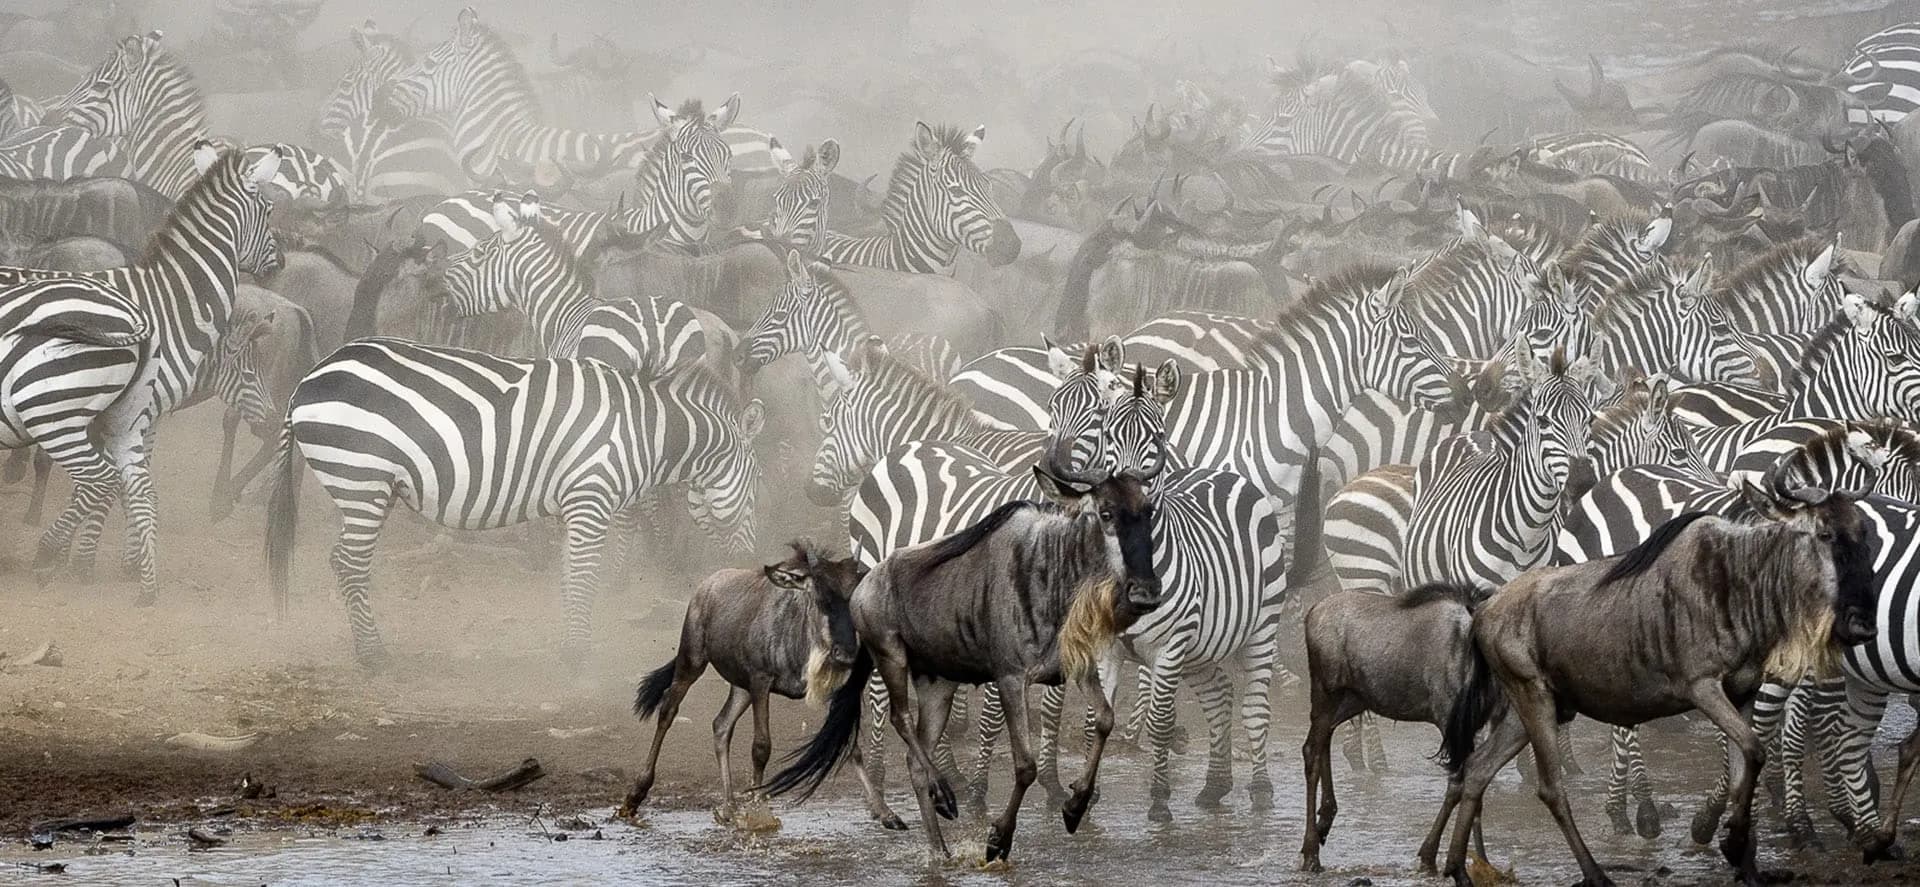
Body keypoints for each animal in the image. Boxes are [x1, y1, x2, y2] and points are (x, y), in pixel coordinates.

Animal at [0, 142, 286, 603]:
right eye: (270, 209)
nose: (282, 264)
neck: (169, 305)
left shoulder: (135, 417)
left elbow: (130, 482)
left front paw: (119, 561)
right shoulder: (132, 413)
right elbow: (114, 485)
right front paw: (91, 561)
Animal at [265, 339, 766, 667]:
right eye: (758, 482)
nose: (752, 561)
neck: (647, 431)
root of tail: (307, 379)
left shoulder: (573, 504)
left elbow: (570, 574)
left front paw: (569, 643)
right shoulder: (591, 494)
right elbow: (584, 574)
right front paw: (578, 655)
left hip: (368, 486)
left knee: (342, 559)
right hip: (360, 476)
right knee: (350, 563)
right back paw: (374, 656)